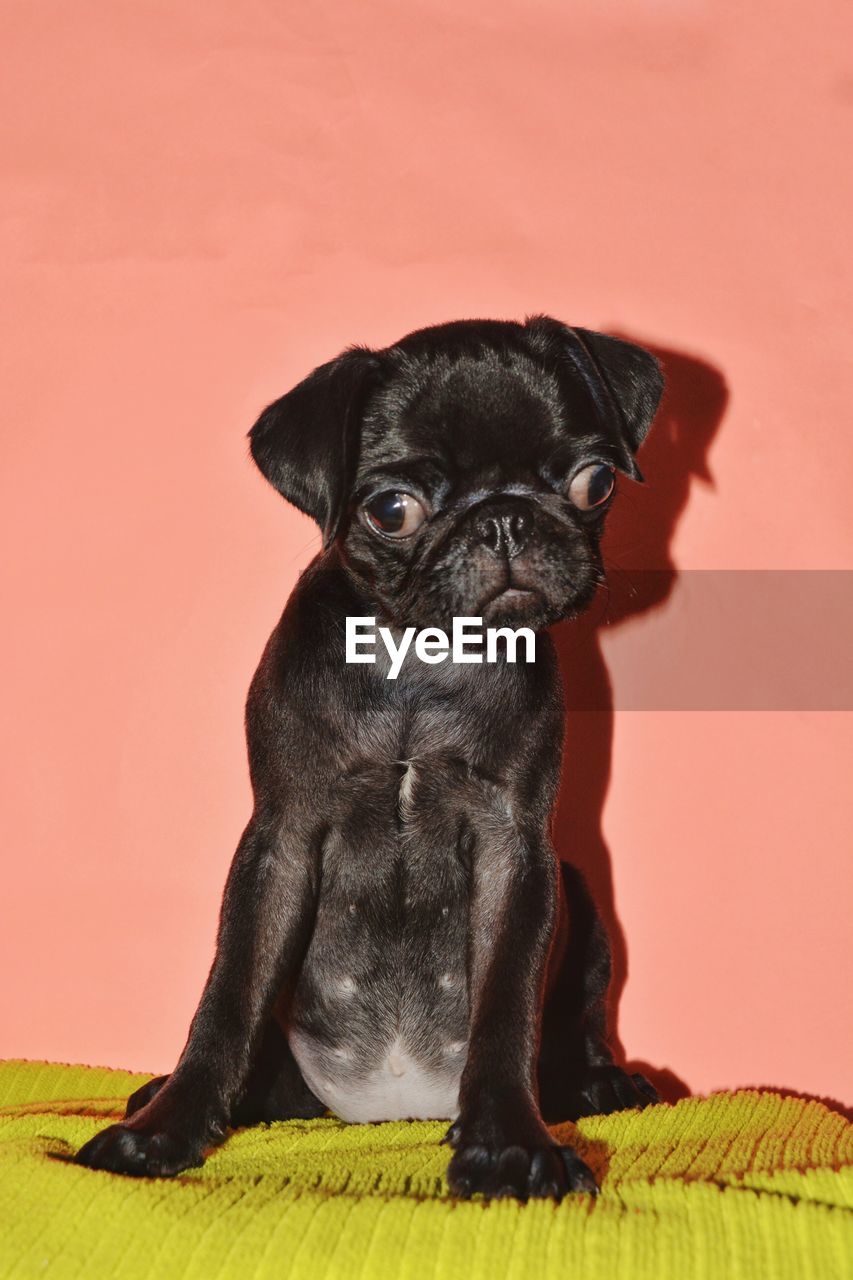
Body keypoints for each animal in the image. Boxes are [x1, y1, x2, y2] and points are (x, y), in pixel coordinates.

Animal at [74, 312, 666, 1198]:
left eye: (593, 482)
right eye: (391, 509)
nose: (504, 519)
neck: (420, 657)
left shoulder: (516, 852)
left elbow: (507, 1005)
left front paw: (508, 1144)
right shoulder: (279, 845)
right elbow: (228, 997)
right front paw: (162, 1131)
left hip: (582, 898)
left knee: (581, 1015)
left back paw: (600, 1082)